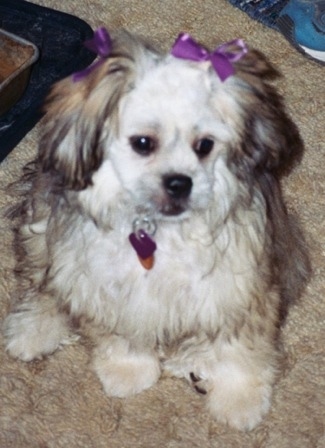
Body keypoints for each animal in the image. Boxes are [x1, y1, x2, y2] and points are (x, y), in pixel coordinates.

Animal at [3, 28, 310, 430]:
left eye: (205, 145)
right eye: (143, 143)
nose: (179, 183)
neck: (158, 231)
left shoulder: (237, 290)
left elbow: (238, 350)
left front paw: (238, 399)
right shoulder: (113, 292)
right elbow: (122, 338)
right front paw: (128, 371)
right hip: (44, 228)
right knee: (42, 283)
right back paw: (33, 330)